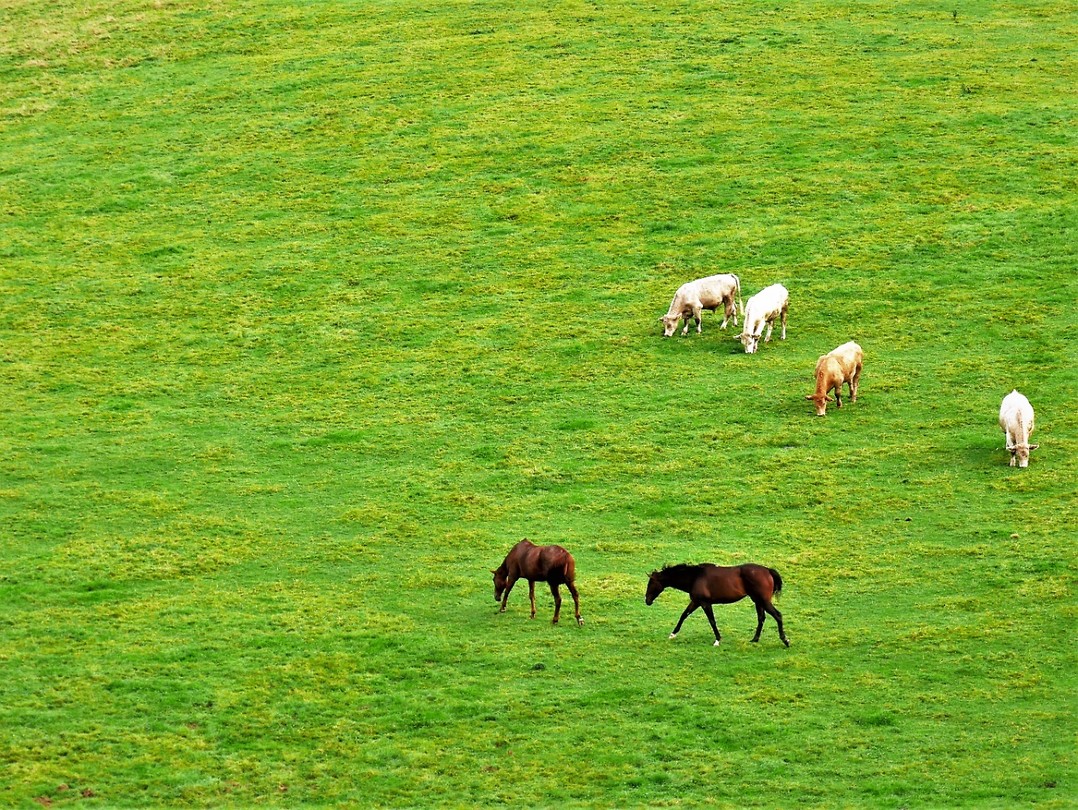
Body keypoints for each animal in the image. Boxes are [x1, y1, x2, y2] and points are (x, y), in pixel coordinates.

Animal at [645, 563, 789, 647]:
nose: (647, 600)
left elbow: (712, 621)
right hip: (757, 601)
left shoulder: (705, 603)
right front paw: (673, 634)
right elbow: (684, 615)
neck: (695, 577)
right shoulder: (696, 602)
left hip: (763, 601)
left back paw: (785, 640)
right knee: (761, 618)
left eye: (651, 583)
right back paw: (755, 639)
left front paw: (718, 640)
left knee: (778, 615)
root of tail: (768, 570)